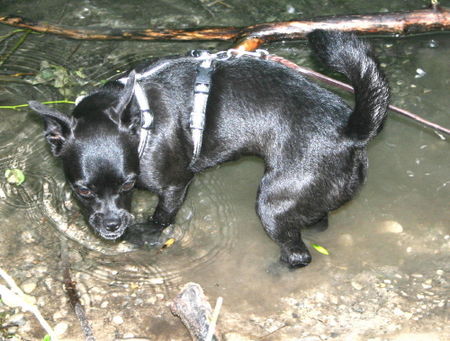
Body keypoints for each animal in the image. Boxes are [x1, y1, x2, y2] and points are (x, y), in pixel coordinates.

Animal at [28, 30, 388, 266]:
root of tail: (348, 132)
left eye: (129, 184)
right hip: (309, 195)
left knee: (298, 254)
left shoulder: (174, 186)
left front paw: (145, 232)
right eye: (83, 191)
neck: (141, 122)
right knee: (317, 219)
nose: (113, 225)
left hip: (273, 204)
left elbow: (161, 218)